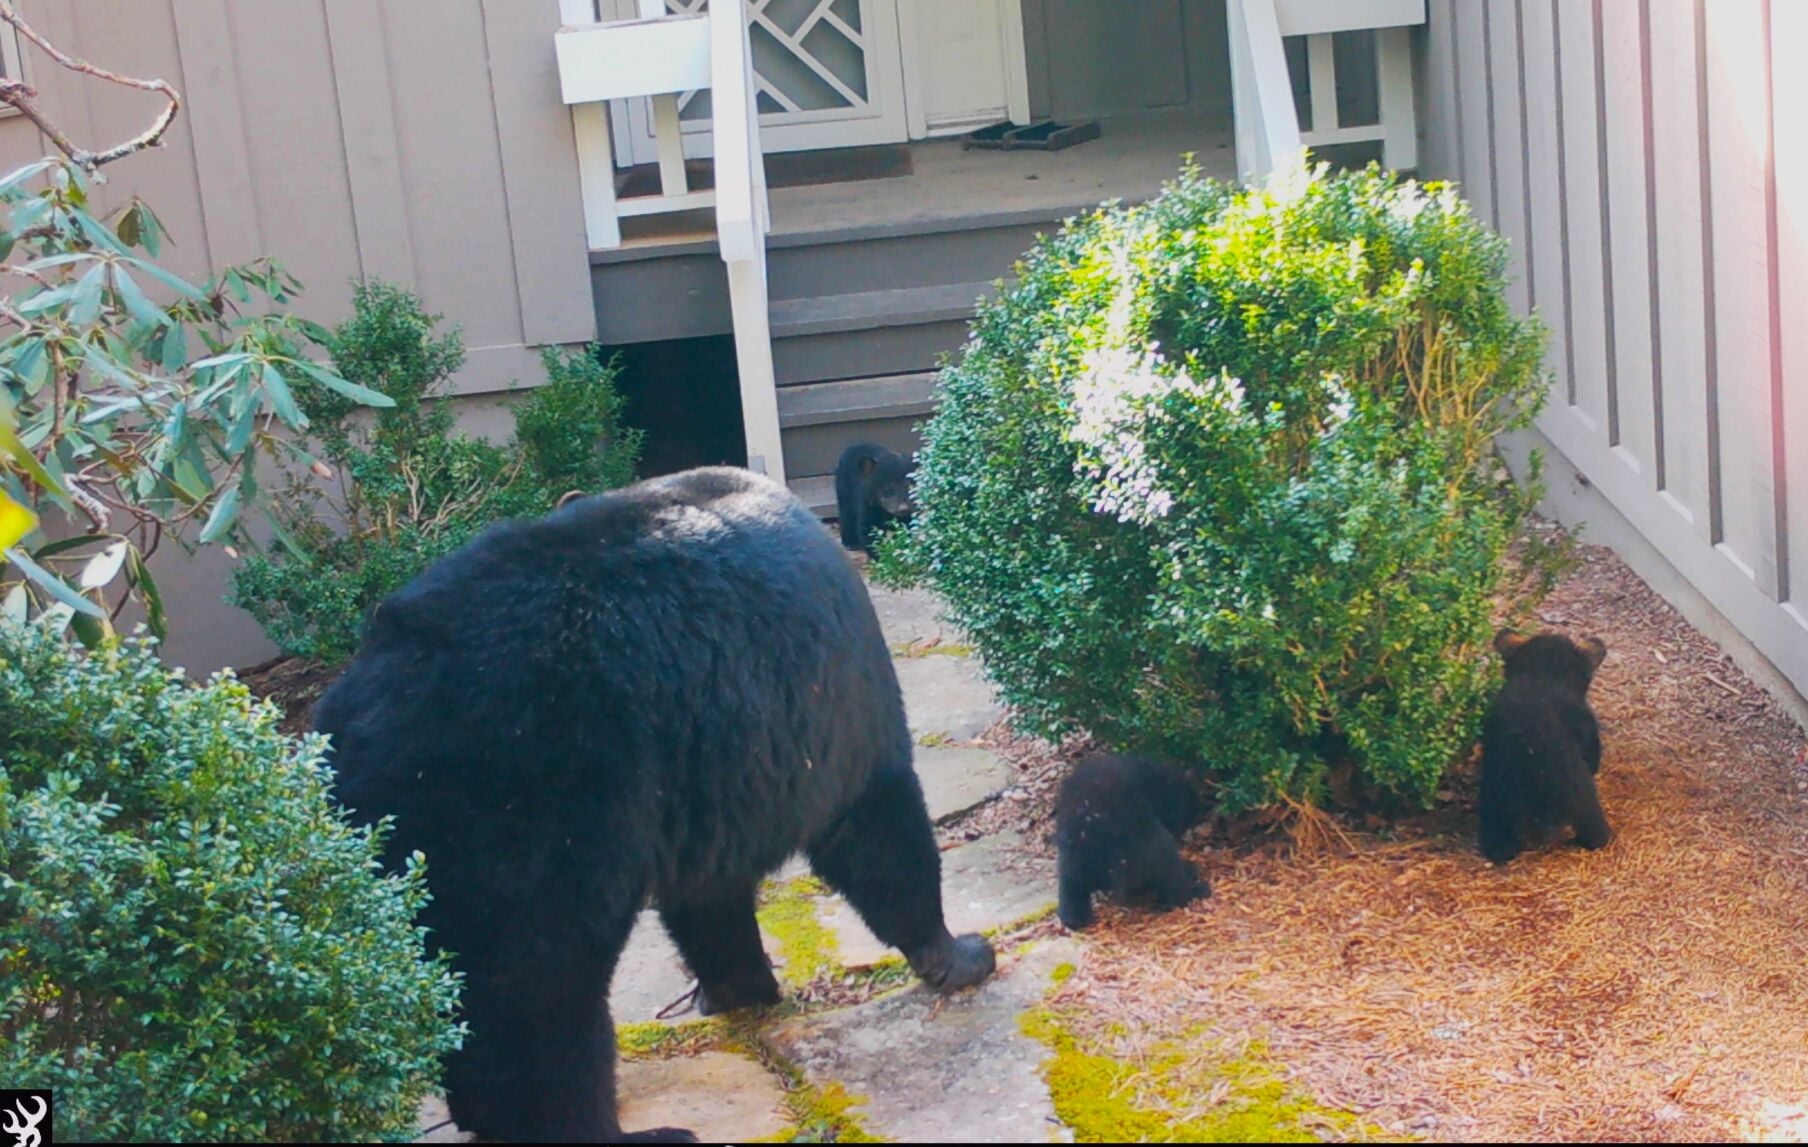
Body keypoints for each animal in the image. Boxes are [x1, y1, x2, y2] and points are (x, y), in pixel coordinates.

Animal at [313, 466, 996, 1144]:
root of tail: (366, 717)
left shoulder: (708, 785)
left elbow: (707, 899)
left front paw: (734, 987)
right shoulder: (833, 704)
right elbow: (876, 829)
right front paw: (960, 953)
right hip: (532, 804)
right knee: (540, 995)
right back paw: (629, 1130)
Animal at [1055, 753, 1212, 931]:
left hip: (1071, 856)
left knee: (1070, 885)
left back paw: (1074, 918)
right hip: (1143, 842)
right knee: (1167, 866)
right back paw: (1195, 890)